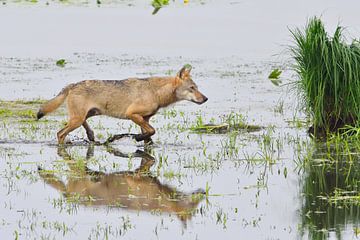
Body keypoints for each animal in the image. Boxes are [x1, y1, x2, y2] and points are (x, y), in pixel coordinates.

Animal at [35, 65, 208, 143]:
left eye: (197, 87)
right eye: (192, 88)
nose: (205, 99)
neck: (156, 92)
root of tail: (72, 85)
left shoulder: (145, 119)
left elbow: (149, 135)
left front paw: (139, 138)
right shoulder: (132, 114)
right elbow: (152, 131)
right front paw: (135, 137)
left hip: (85, 116)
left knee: (83, 127)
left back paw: (91, 137)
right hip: (77, 120)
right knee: (60, 133)